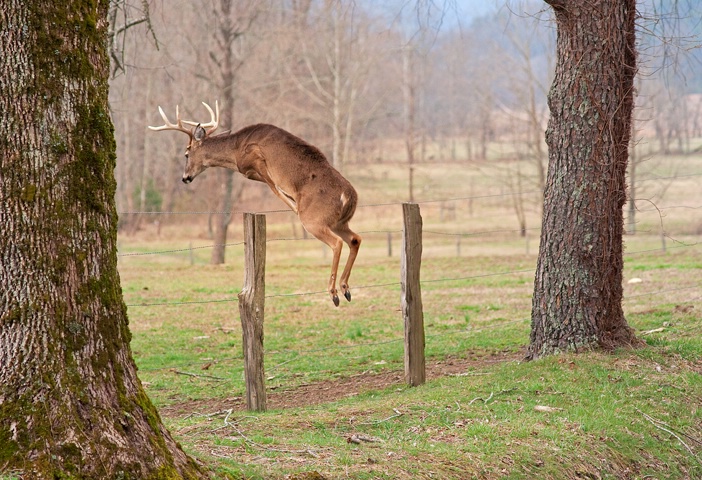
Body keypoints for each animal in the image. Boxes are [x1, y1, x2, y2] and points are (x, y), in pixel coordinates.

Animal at [152, 101, 366, 306]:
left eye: (186, 153)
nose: (185, 178)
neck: (235, 149)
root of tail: (349, 196)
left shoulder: (257, 160)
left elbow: (276, 189)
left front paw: (294, 206)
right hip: (339, 222)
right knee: (355, 239)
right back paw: (345, 289)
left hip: (315, 221)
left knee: (337, 242)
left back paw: (334, 293)